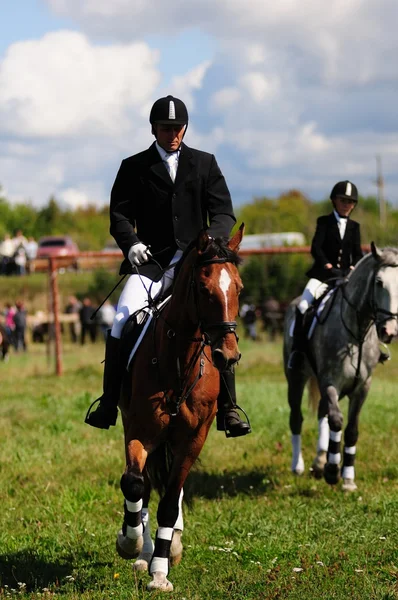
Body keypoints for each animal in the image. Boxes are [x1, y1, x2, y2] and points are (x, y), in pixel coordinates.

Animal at [115, 225, 244, 592]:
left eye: (239, 288)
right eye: (203, 288)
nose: (227, 355)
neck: (178, 361)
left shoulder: (193, 437)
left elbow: (171, 501)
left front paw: (160, 570)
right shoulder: (140, 430)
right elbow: (134, 484)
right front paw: (130, 542)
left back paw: (168, 546)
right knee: (143, 484)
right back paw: (141, 548)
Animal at [282, 244, 398, 492]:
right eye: (379, 282)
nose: (389, 331)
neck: (357, 335)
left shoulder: (362, 387)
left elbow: (352, 429)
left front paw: (347, 479)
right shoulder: (330, 382)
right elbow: (336, 420)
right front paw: (333, 471)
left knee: (321, 413)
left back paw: (320, 460)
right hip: (295, 379)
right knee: (297, 417)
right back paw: (299, 466)